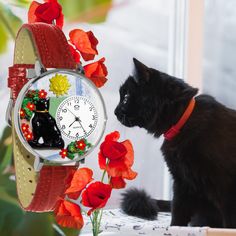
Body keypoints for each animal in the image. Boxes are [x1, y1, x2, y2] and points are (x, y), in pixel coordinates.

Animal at [114, 58, 236, 228]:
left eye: (125, 97)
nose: (115, 112)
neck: (182, 122)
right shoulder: (181, 181)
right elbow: (177, 217)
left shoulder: (226, 189)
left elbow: (230, 224)